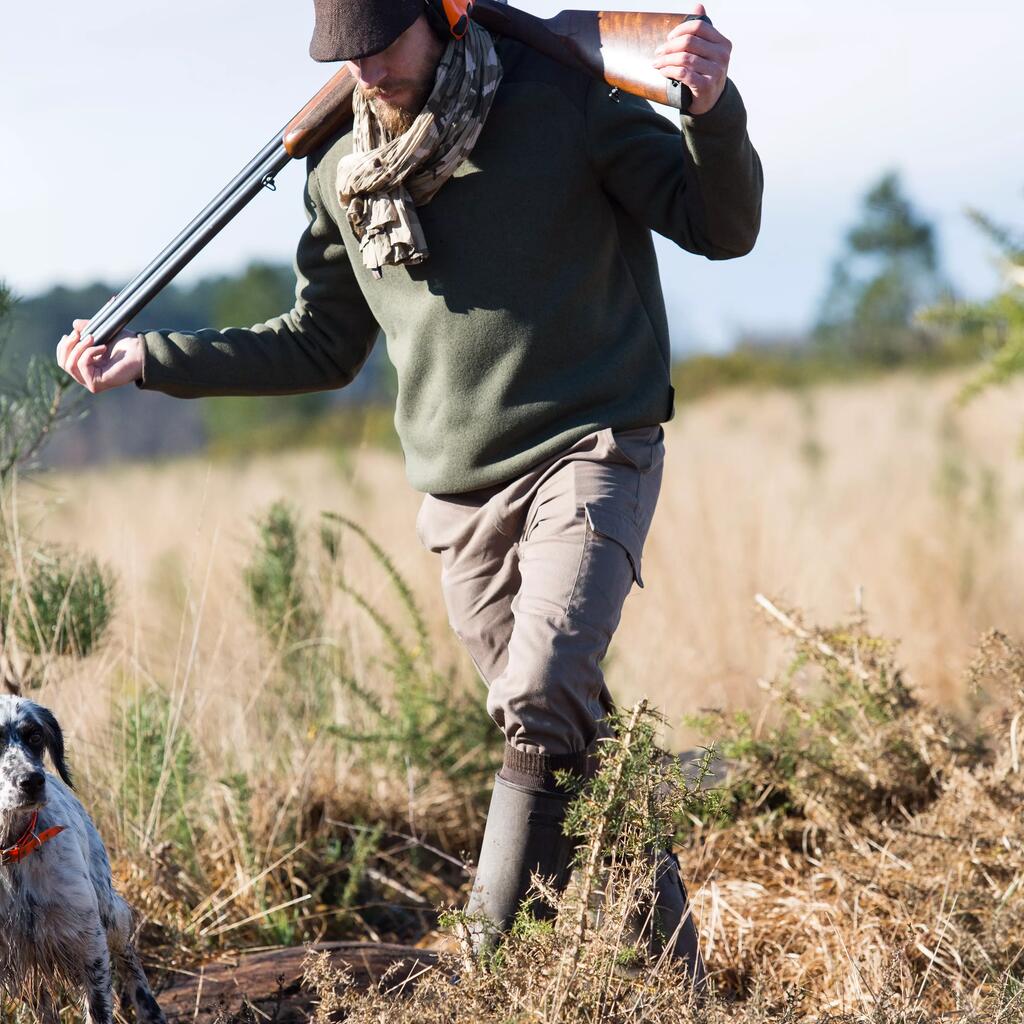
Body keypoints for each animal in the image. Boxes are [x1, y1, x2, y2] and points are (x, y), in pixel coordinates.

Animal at [0, 696, 163, 1024]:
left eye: (34, 736)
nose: (32, 781)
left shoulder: (89, 947)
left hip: (108, 912)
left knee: (127, 951)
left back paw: (149, 1008)